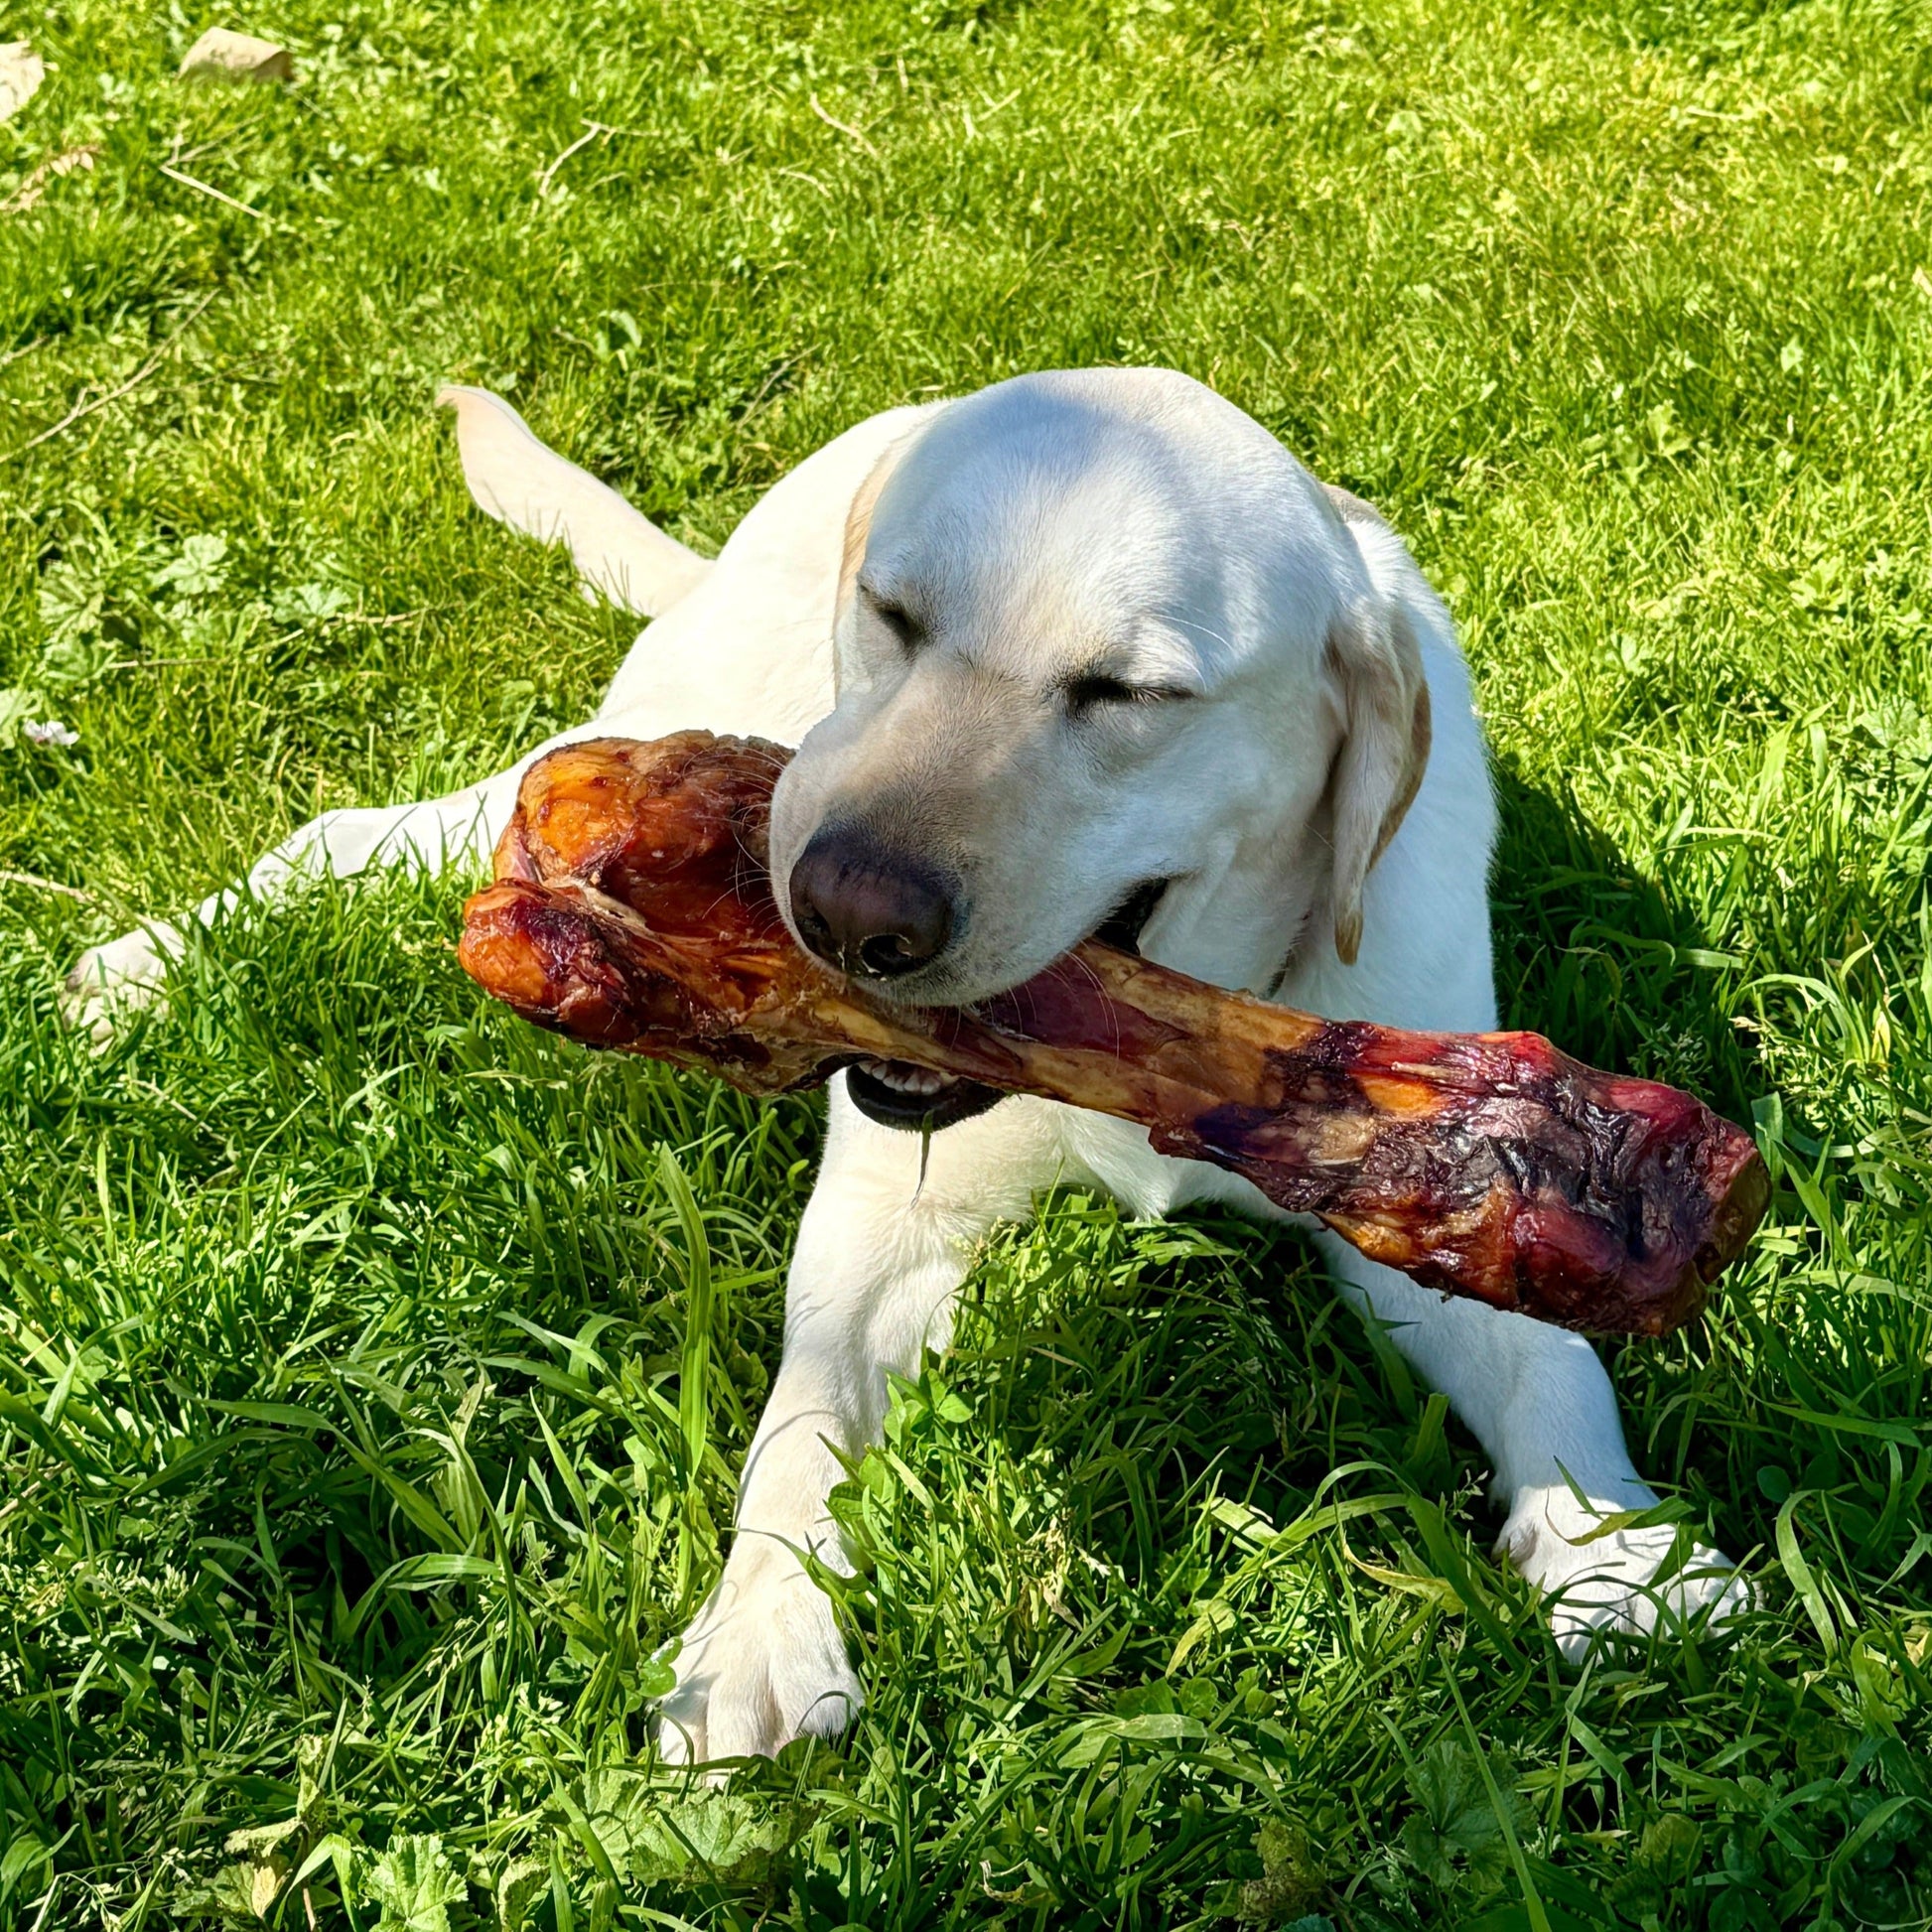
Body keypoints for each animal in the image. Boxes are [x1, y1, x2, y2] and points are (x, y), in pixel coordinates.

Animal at [68, 368, 1746, 1761]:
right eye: (892, 614)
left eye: (1127, 695)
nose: (844, 912)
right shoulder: (880, 1230)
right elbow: (801, 1426)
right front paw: (757, 1631)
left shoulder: (1427, 1177)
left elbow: (1548, 1351)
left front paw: (1614, 1549)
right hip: (658, 733)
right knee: (367, 831)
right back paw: (145, 964)